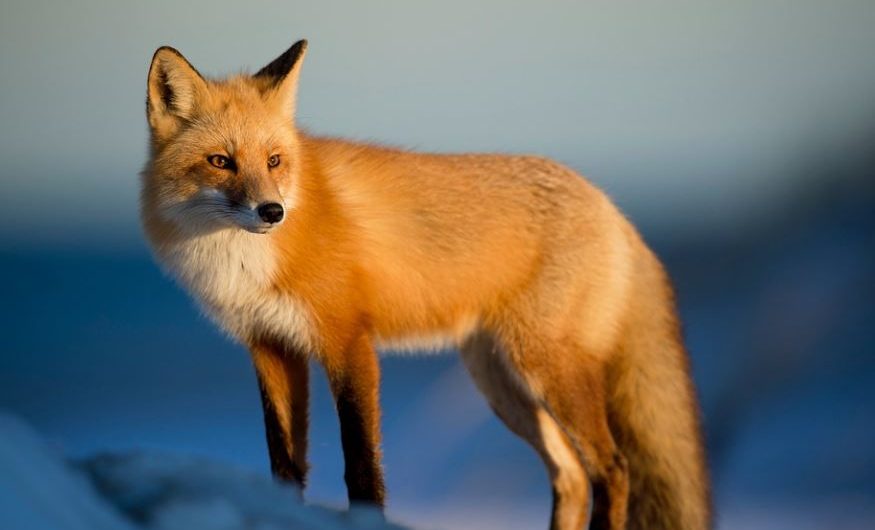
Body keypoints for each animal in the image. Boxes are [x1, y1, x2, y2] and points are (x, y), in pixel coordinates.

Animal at [141, 39, 711, 530]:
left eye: (274, 161)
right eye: (221, 161)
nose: (272, 212)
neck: (244, 263)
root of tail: (612, 208)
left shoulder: (349, 342)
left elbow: (361, 465)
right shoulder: (270, 347)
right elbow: (284, 465)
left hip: (547, 369)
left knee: (612, 469)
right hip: (502, 384)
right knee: (570, 475)